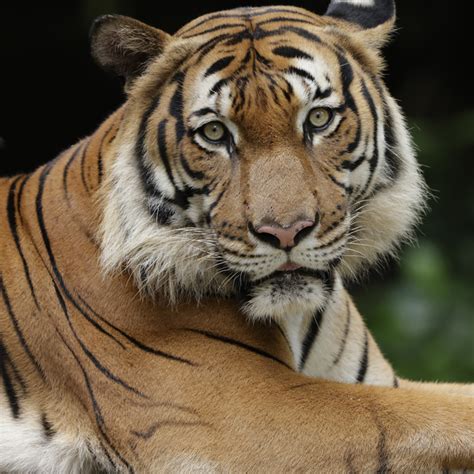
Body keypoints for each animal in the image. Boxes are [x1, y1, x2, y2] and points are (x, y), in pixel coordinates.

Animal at [0, 0, 474, 472]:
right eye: (214, 132)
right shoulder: (244, 414)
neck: (296, 319)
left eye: (318, 119)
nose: (285, 232)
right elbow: (432, 416)